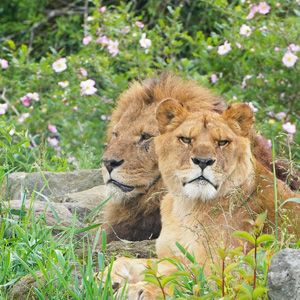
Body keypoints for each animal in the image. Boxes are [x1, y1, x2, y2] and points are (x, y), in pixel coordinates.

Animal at [100, 101, 300, 300]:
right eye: (186, 139)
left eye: (222, 142)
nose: (203, 161)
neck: (187, 206)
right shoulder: (173, 255)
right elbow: (131, 261)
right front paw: (105, 277)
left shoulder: (230, 264)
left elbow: (182, 277)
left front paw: (140, 289)